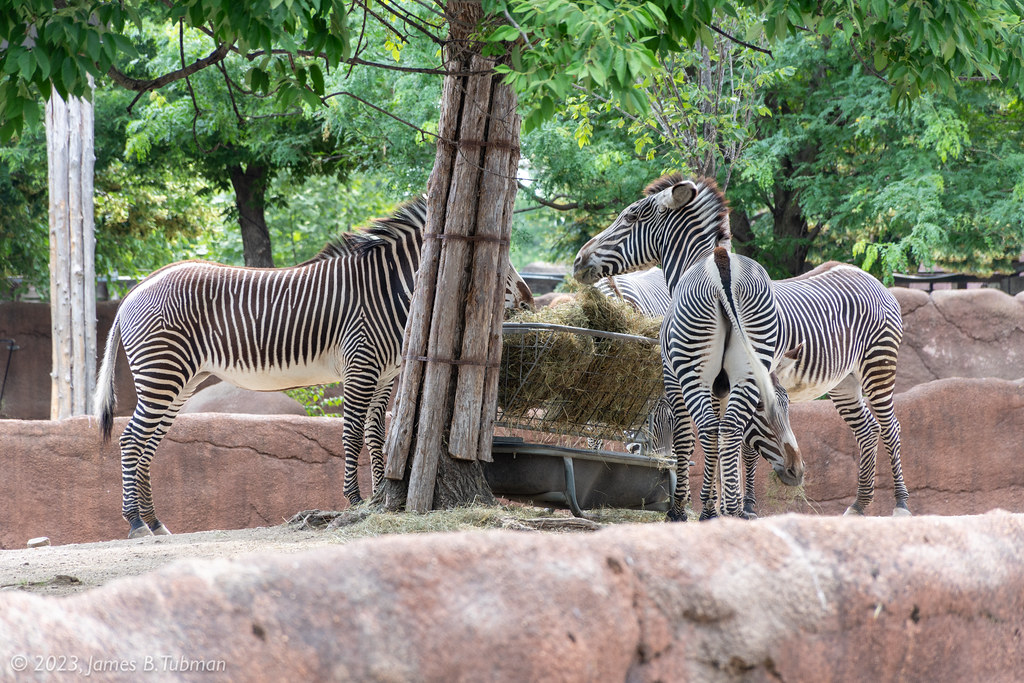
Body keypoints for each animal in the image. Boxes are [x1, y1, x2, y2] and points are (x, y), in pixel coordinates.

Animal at [95, 197, 534, 538]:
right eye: (496, 264)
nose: (529, 300)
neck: (392, 291)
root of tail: (138, 287)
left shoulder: (385, 376)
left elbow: (377, 435)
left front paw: (379, 495)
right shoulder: (361, 365)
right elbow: (352, 435)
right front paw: (355, 499)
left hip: (181, 379)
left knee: (149, 444)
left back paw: (155, 522)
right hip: (162, 371)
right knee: (131, 439)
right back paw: (135, 523)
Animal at [574, 173, 911, 518]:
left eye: (630, 216)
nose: (578, 260)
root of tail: (870, 278)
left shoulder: (677, 375)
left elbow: (696, 440)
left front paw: (712, 508)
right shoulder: (728, 385)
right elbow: (728, 444)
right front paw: (726, 506)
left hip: (878, 365)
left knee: (892, 428)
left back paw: (900, 504)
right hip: (843, 381)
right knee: (867, 430)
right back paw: (858, 505)